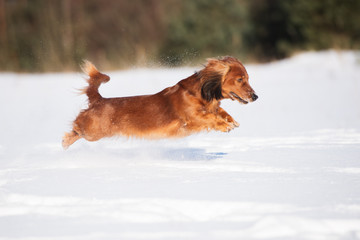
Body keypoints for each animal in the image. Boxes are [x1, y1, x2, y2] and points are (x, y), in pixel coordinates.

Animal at [62, 57, 258, 149]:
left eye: (248, 78)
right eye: (240, 79)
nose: (255, 96)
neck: (198, 93)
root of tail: (98, 100)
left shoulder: (212, 108)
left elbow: (220, 111)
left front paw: (231, 120)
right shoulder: (191, 118)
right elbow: (209, 118)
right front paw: (225, 125)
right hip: (93, 132)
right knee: (76, 127)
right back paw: (65, 140)